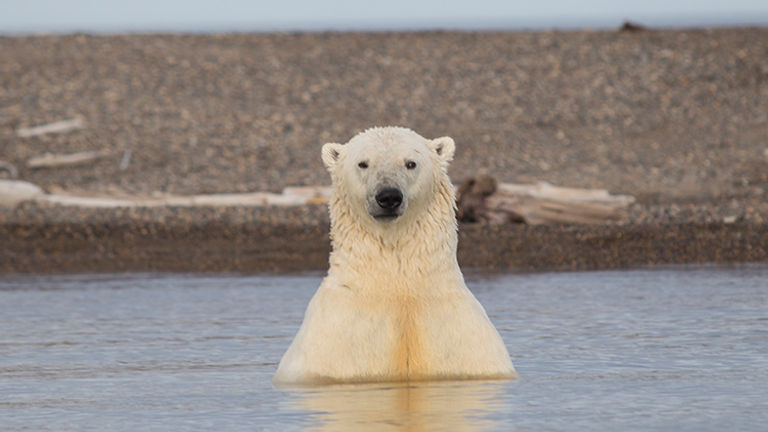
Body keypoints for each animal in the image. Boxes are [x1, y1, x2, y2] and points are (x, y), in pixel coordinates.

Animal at [273, 126, 517, 384]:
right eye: (363, 163)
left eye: (410, 163)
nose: (388, 196)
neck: (398, 289)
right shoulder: (333, 349)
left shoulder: (465, 348)